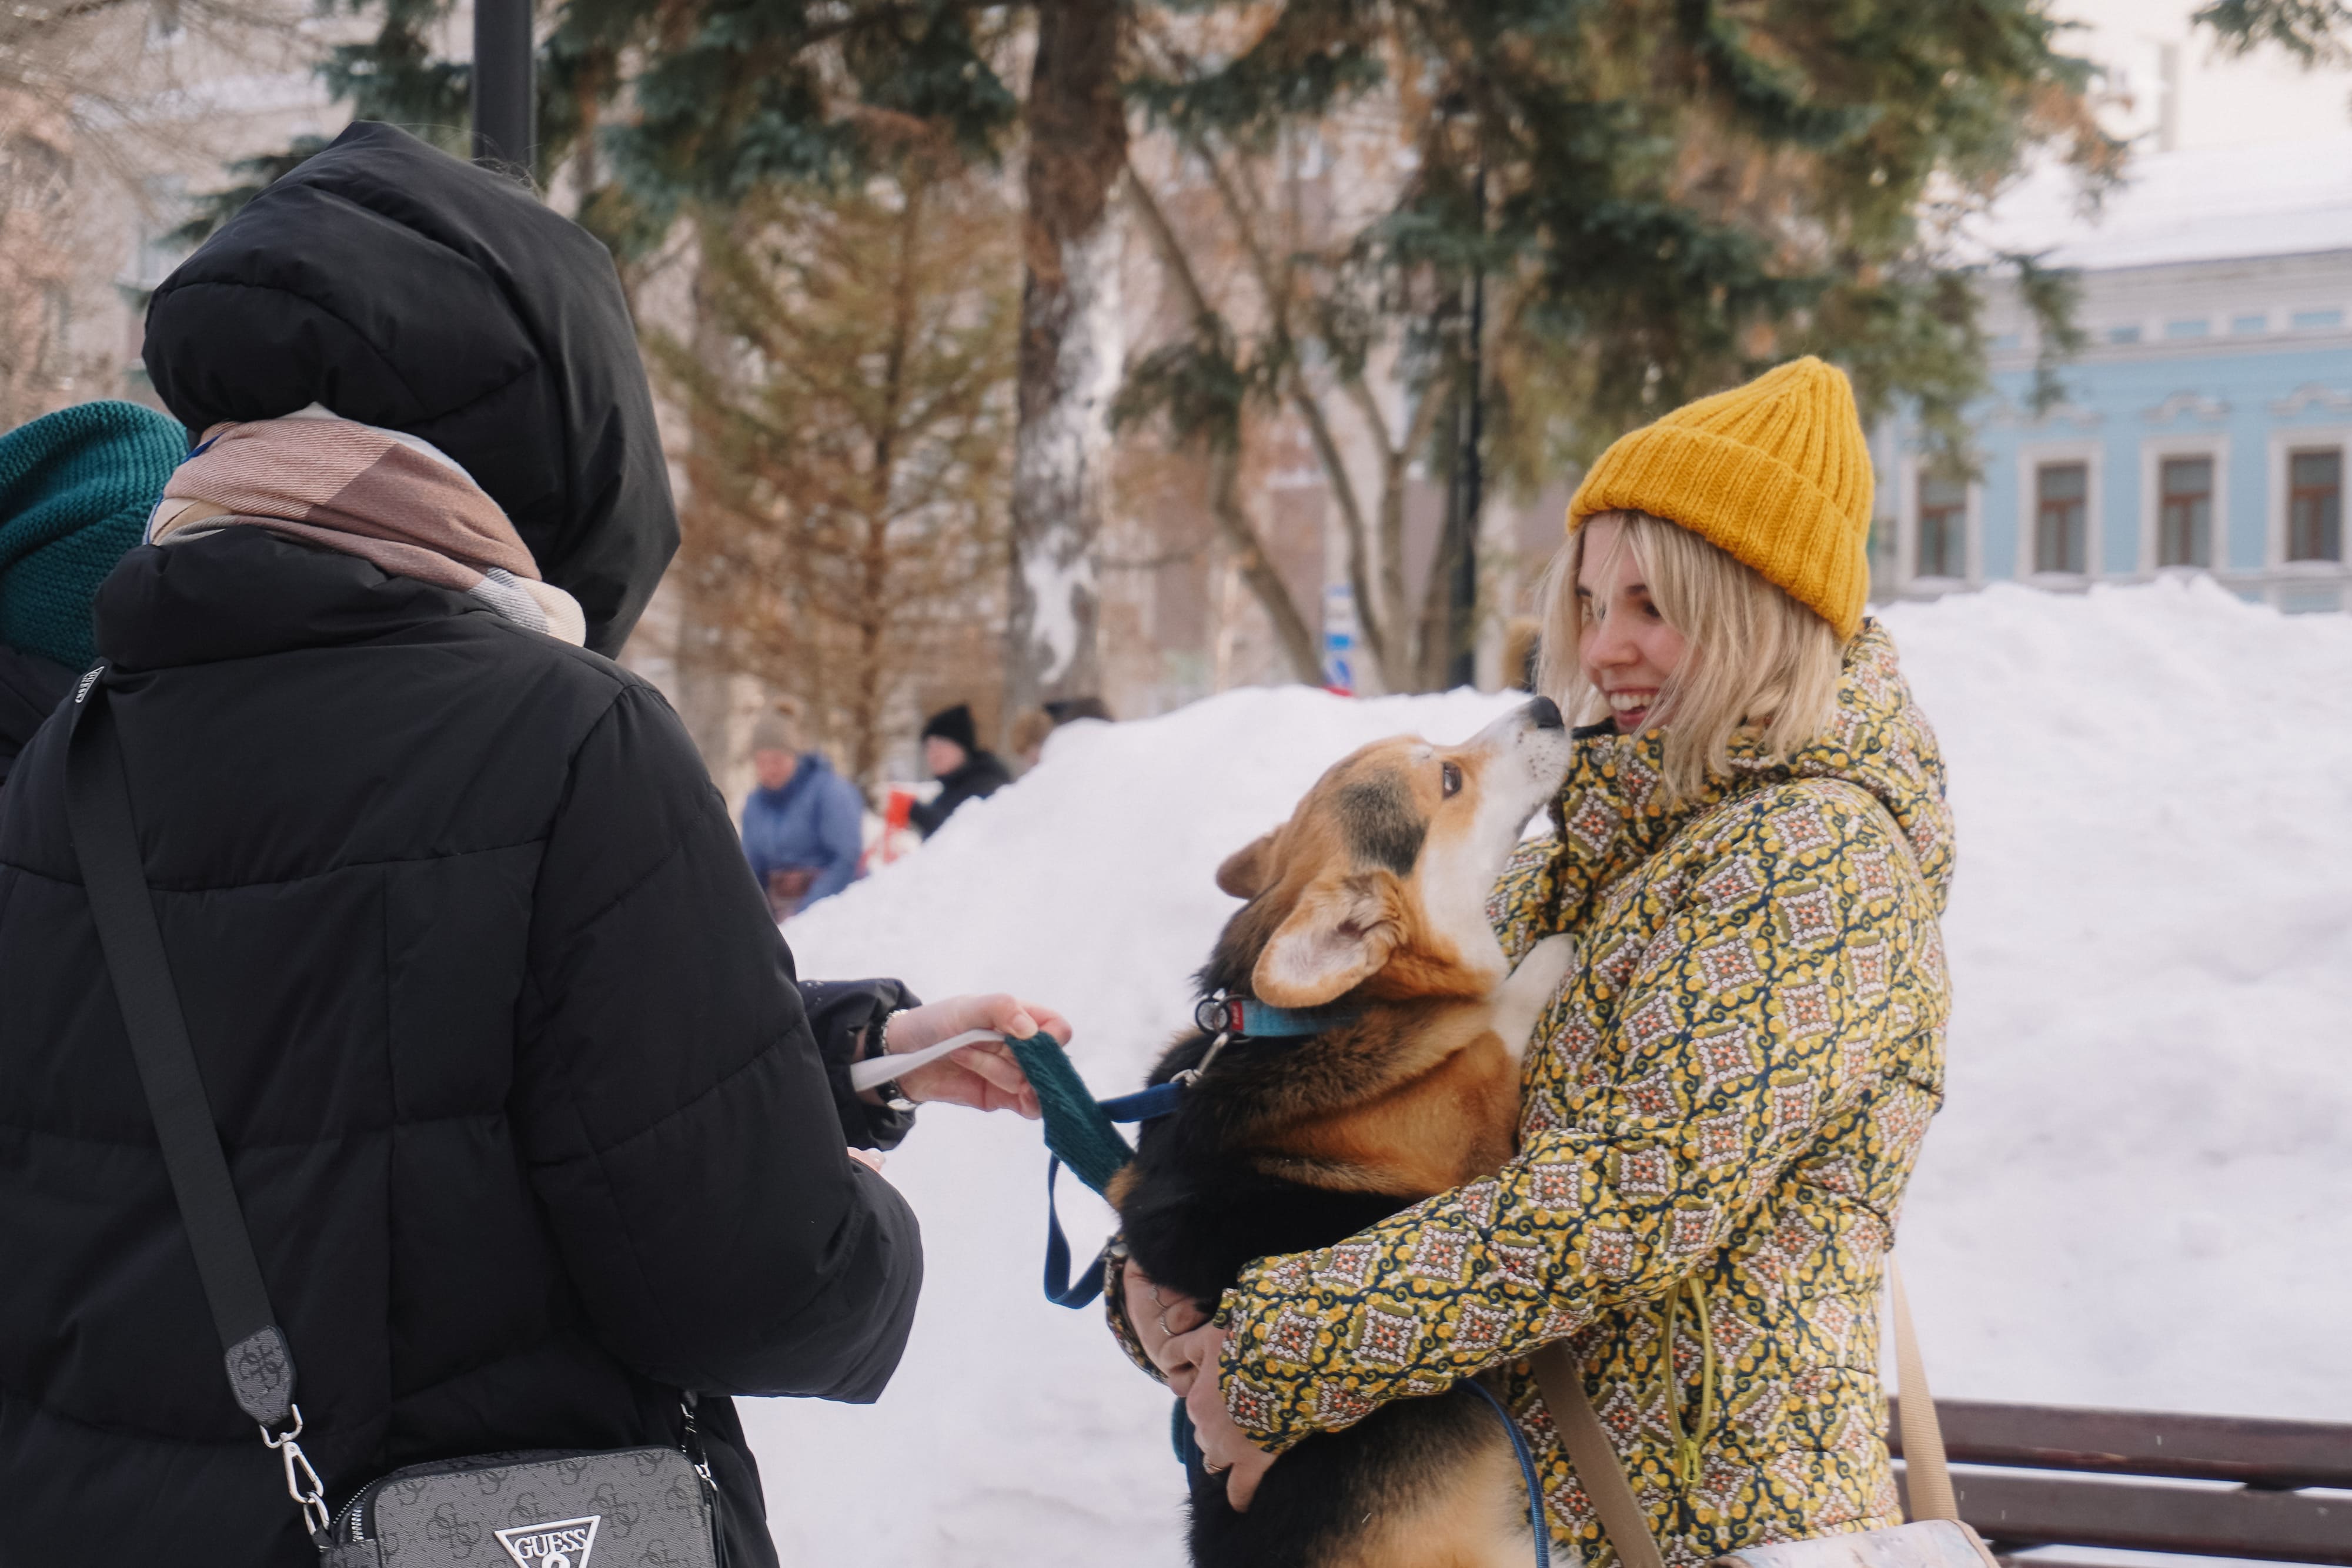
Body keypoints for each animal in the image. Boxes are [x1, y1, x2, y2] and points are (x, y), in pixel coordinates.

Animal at [1105, 700, 1581, 1568]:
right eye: (1449, 778)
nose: (1546, 706)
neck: (1314, 1020)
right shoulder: (1476, 1118)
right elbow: (1500, 1013)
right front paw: (1548, 953)